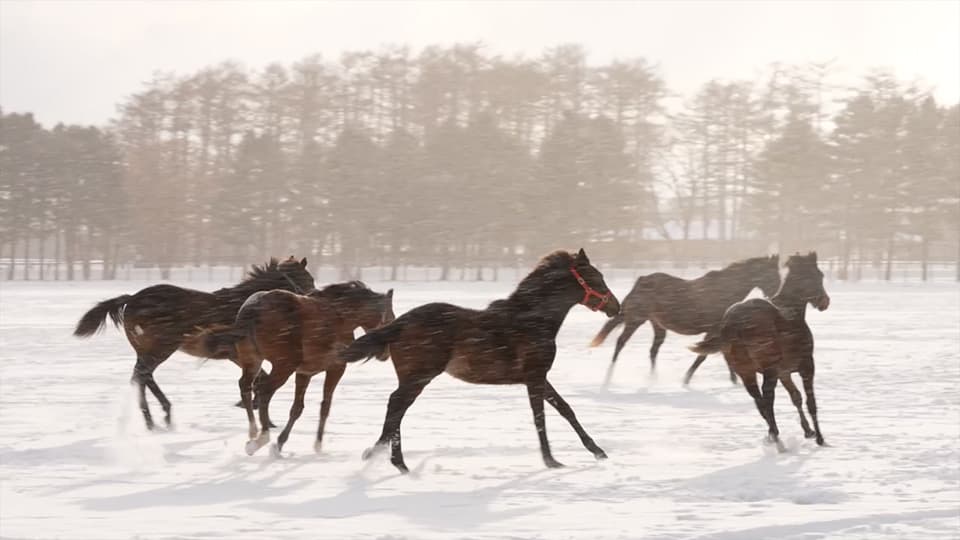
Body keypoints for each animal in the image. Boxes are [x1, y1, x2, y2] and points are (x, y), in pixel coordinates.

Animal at [76, 258, 316, 430]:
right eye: (308, 278)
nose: (311, 298)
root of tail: (131, 298)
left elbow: (259, 379)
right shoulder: (237, 355)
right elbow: (260, 379)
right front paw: (256, 408)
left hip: (148, 350)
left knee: (143, 377)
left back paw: (160, 415)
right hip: (160, 349)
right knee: (141, 376)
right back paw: (156, 418)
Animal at [204, 282, 396, 456]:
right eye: (391, 318)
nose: (386, 353)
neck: (340, 315)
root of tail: (254, 308)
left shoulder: (304, 373)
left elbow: (297, 408)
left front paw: (280, 444)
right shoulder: (336, 368)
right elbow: (325, 406)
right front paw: (318, 445)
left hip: (253, 362)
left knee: (245, 386)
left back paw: (254, 432)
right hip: (283, 366)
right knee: (264, 391)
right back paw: (261, 437)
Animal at [342, 249, 620, 472]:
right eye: (596, 278)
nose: (615, 307)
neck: (533, 321)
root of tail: (400, 323)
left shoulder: (539, 377)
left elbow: (566, 410)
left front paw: (598, 451)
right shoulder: (534, 376)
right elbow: (540, 417)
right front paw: (551, 460)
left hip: (413, 378)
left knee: (397, 408)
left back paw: (389, 459)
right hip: (419, 376)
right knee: (396, 405)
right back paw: (388, 458)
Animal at [588, 255, 784, 386]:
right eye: (772, 274)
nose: (774, 297)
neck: (724, 290)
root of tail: (640, 281)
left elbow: (717, 355)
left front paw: (733, 380)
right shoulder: (713, 330)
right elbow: (704, 356)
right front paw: (686, 379)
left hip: (657, 325)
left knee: (653, 350)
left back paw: (653, 379)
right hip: (636, 320)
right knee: (621, 343)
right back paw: (608, 377)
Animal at [688, 253, 832, 452]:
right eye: (819, 275)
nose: (825, 302)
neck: (791, 313)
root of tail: (733, 321)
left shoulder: (784, 373)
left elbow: (796, 397)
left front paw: (808, 431)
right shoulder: (806, 366)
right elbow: (810, 402)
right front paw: (819, 438)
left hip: (746, 372)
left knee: (760, 402)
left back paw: (774, 436)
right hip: (768, 371)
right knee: (767, 400)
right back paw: (778, 441)